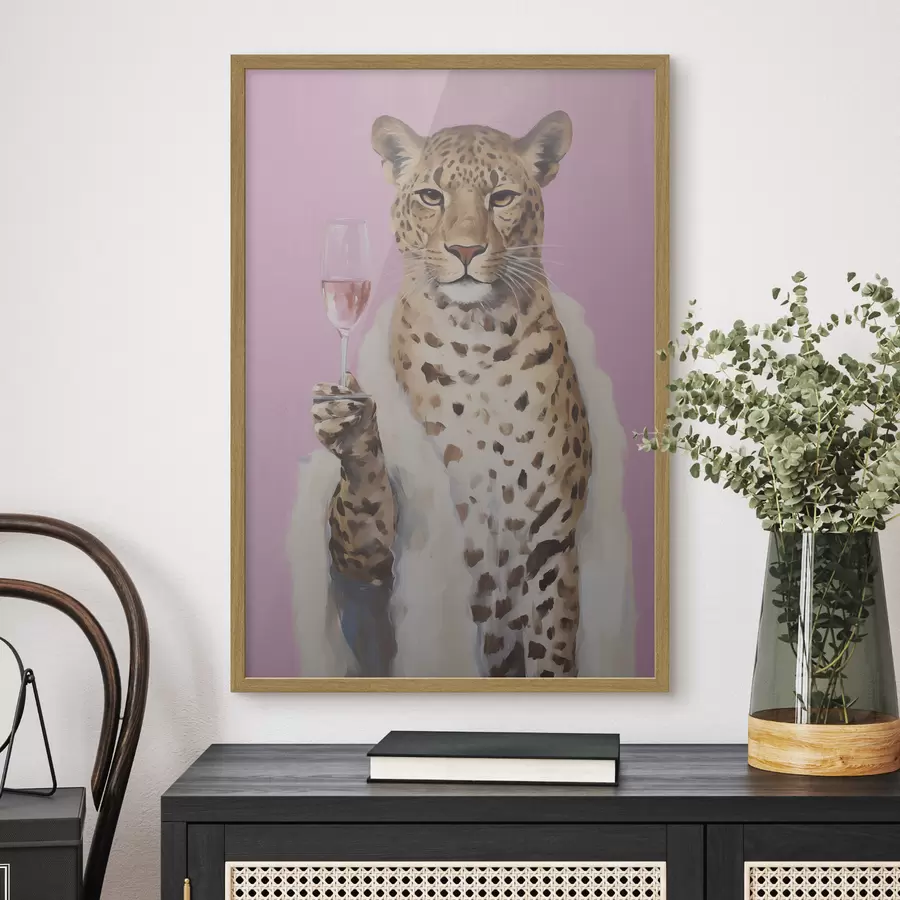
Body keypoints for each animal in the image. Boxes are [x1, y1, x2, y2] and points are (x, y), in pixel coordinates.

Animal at [312, 110, 592, 677]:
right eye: (431, 196)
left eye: (502, 197)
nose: (465, 249)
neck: (476, 340)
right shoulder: (371, 551)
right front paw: (350, 427)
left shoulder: (550, 540)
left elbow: (551, 649)